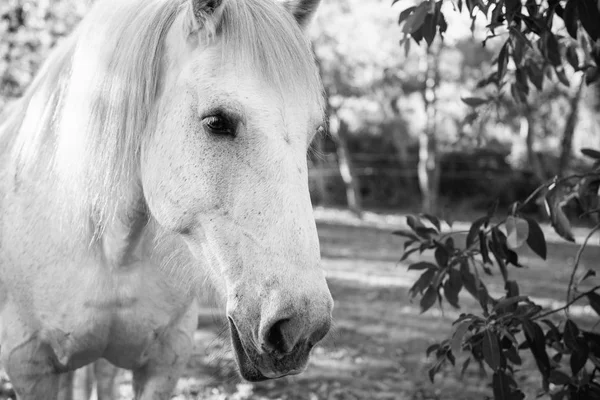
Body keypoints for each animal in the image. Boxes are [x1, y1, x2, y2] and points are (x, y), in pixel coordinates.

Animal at [0, 0, 332, 398]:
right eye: (217, 121)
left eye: (313, 131)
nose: (302, 326)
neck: (114, 254)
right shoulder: (29, 365)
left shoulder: (166, 361)